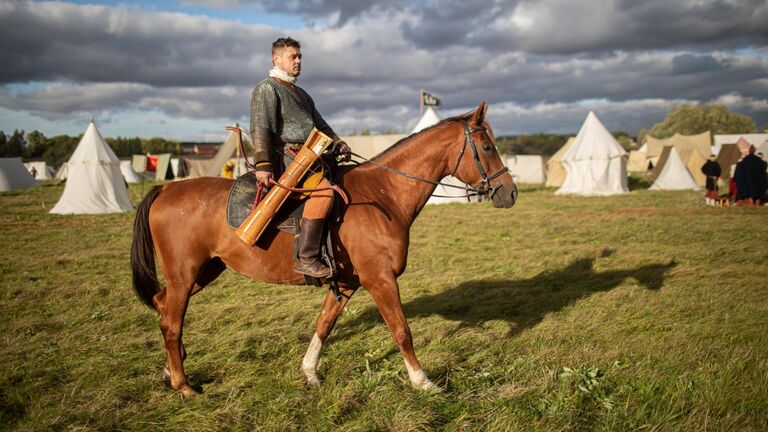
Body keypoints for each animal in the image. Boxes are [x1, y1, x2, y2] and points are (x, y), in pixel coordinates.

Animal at [132, 102, 520, 398]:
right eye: (487, 147)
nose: (510, 192)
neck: (384, 194)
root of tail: (165, 190)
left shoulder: (347, 284)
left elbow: (324, 324)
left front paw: (309, 372)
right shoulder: (381, 280)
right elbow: (401, 331)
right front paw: (423, 382)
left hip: (204, 271)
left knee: (163, 306)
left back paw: (171, 369)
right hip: (185, 276)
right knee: (172, 322)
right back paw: (183, 385)